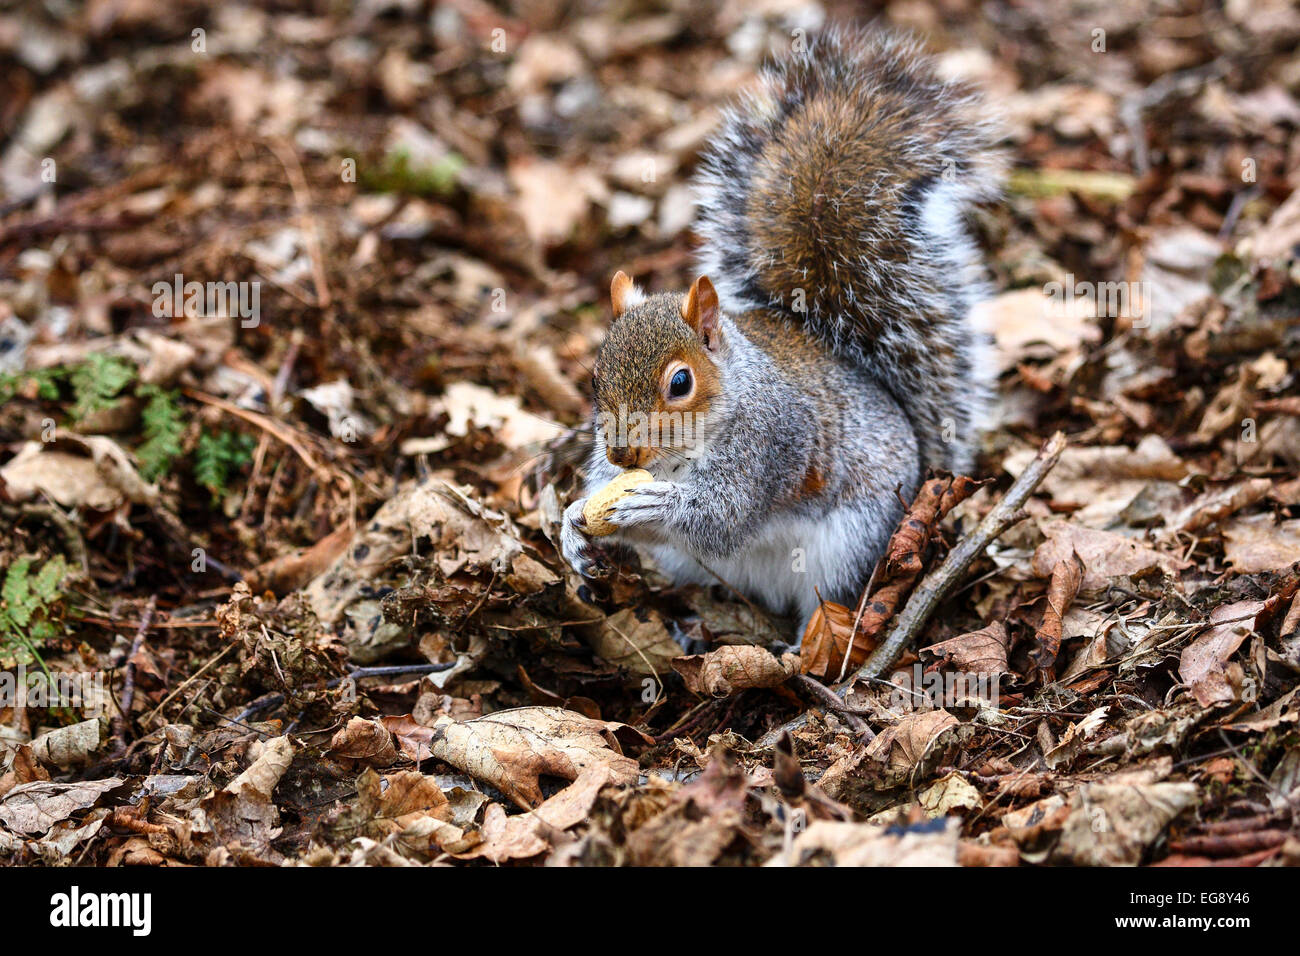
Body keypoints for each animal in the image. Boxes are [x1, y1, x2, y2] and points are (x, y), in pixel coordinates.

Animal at [560, 27, 1003, 639]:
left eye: (680, 383)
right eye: (594, 379)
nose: (624, 454)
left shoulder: (772, 444)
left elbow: (722, 516)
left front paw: (649, 507)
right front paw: (571, 525)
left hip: (850, 544)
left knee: (830, 599)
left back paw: (802, 648)